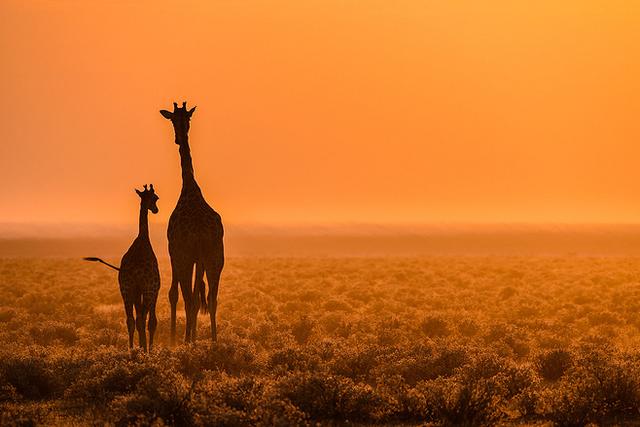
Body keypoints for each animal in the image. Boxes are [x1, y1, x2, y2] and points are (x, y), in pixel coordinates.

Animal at [85, 184, 161, 352]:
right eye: (155, 198)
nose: (155, 209)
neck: (143, 239)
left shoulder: (135, 290)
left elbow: (139, 319)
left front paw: (142, 348)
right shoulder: (154, 288)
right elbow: (151, 321)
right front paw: (149, 349)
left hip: (126, 289)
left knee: (131, 320)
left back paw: (132, 349)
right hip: (144, 289)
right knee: (143, 319)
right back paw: (142, 349)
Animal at [160, 101, 225, 344]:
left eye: (185, 118)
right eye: (173, 119)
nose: (178, 138)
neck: (189, 186)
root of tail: (199, 231)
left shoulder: (174, 250)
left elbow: (174, 294)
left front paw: (175, 339)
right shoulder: (201, 258)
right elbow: (199, 298)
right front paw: (193, 337)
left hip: (187, 257)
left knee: (188, 297)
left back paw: (187, 340)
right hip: (215, 257)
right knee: (211, 298)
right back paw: (214, 341)